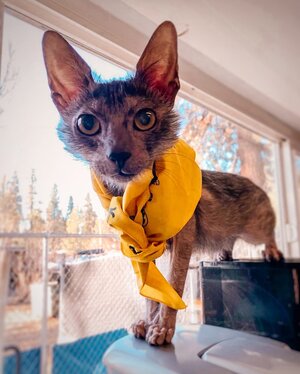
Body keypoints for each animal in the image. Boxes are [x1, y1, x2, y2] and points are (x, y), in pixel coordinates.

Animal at [42, 21, 282, 346]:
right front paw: (147, 322)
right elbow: (150, 291)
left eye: (145, 118)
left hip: (255, 227)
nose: (117, 154)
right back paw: (223, 253)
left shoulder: (183, 238)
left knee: (268, 231)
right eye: (87, 123)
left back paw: (272, 251)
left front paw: (163, 329)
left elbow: (174, 284)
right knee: (228, 240)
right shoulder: (140, 249)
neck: (136, 195)